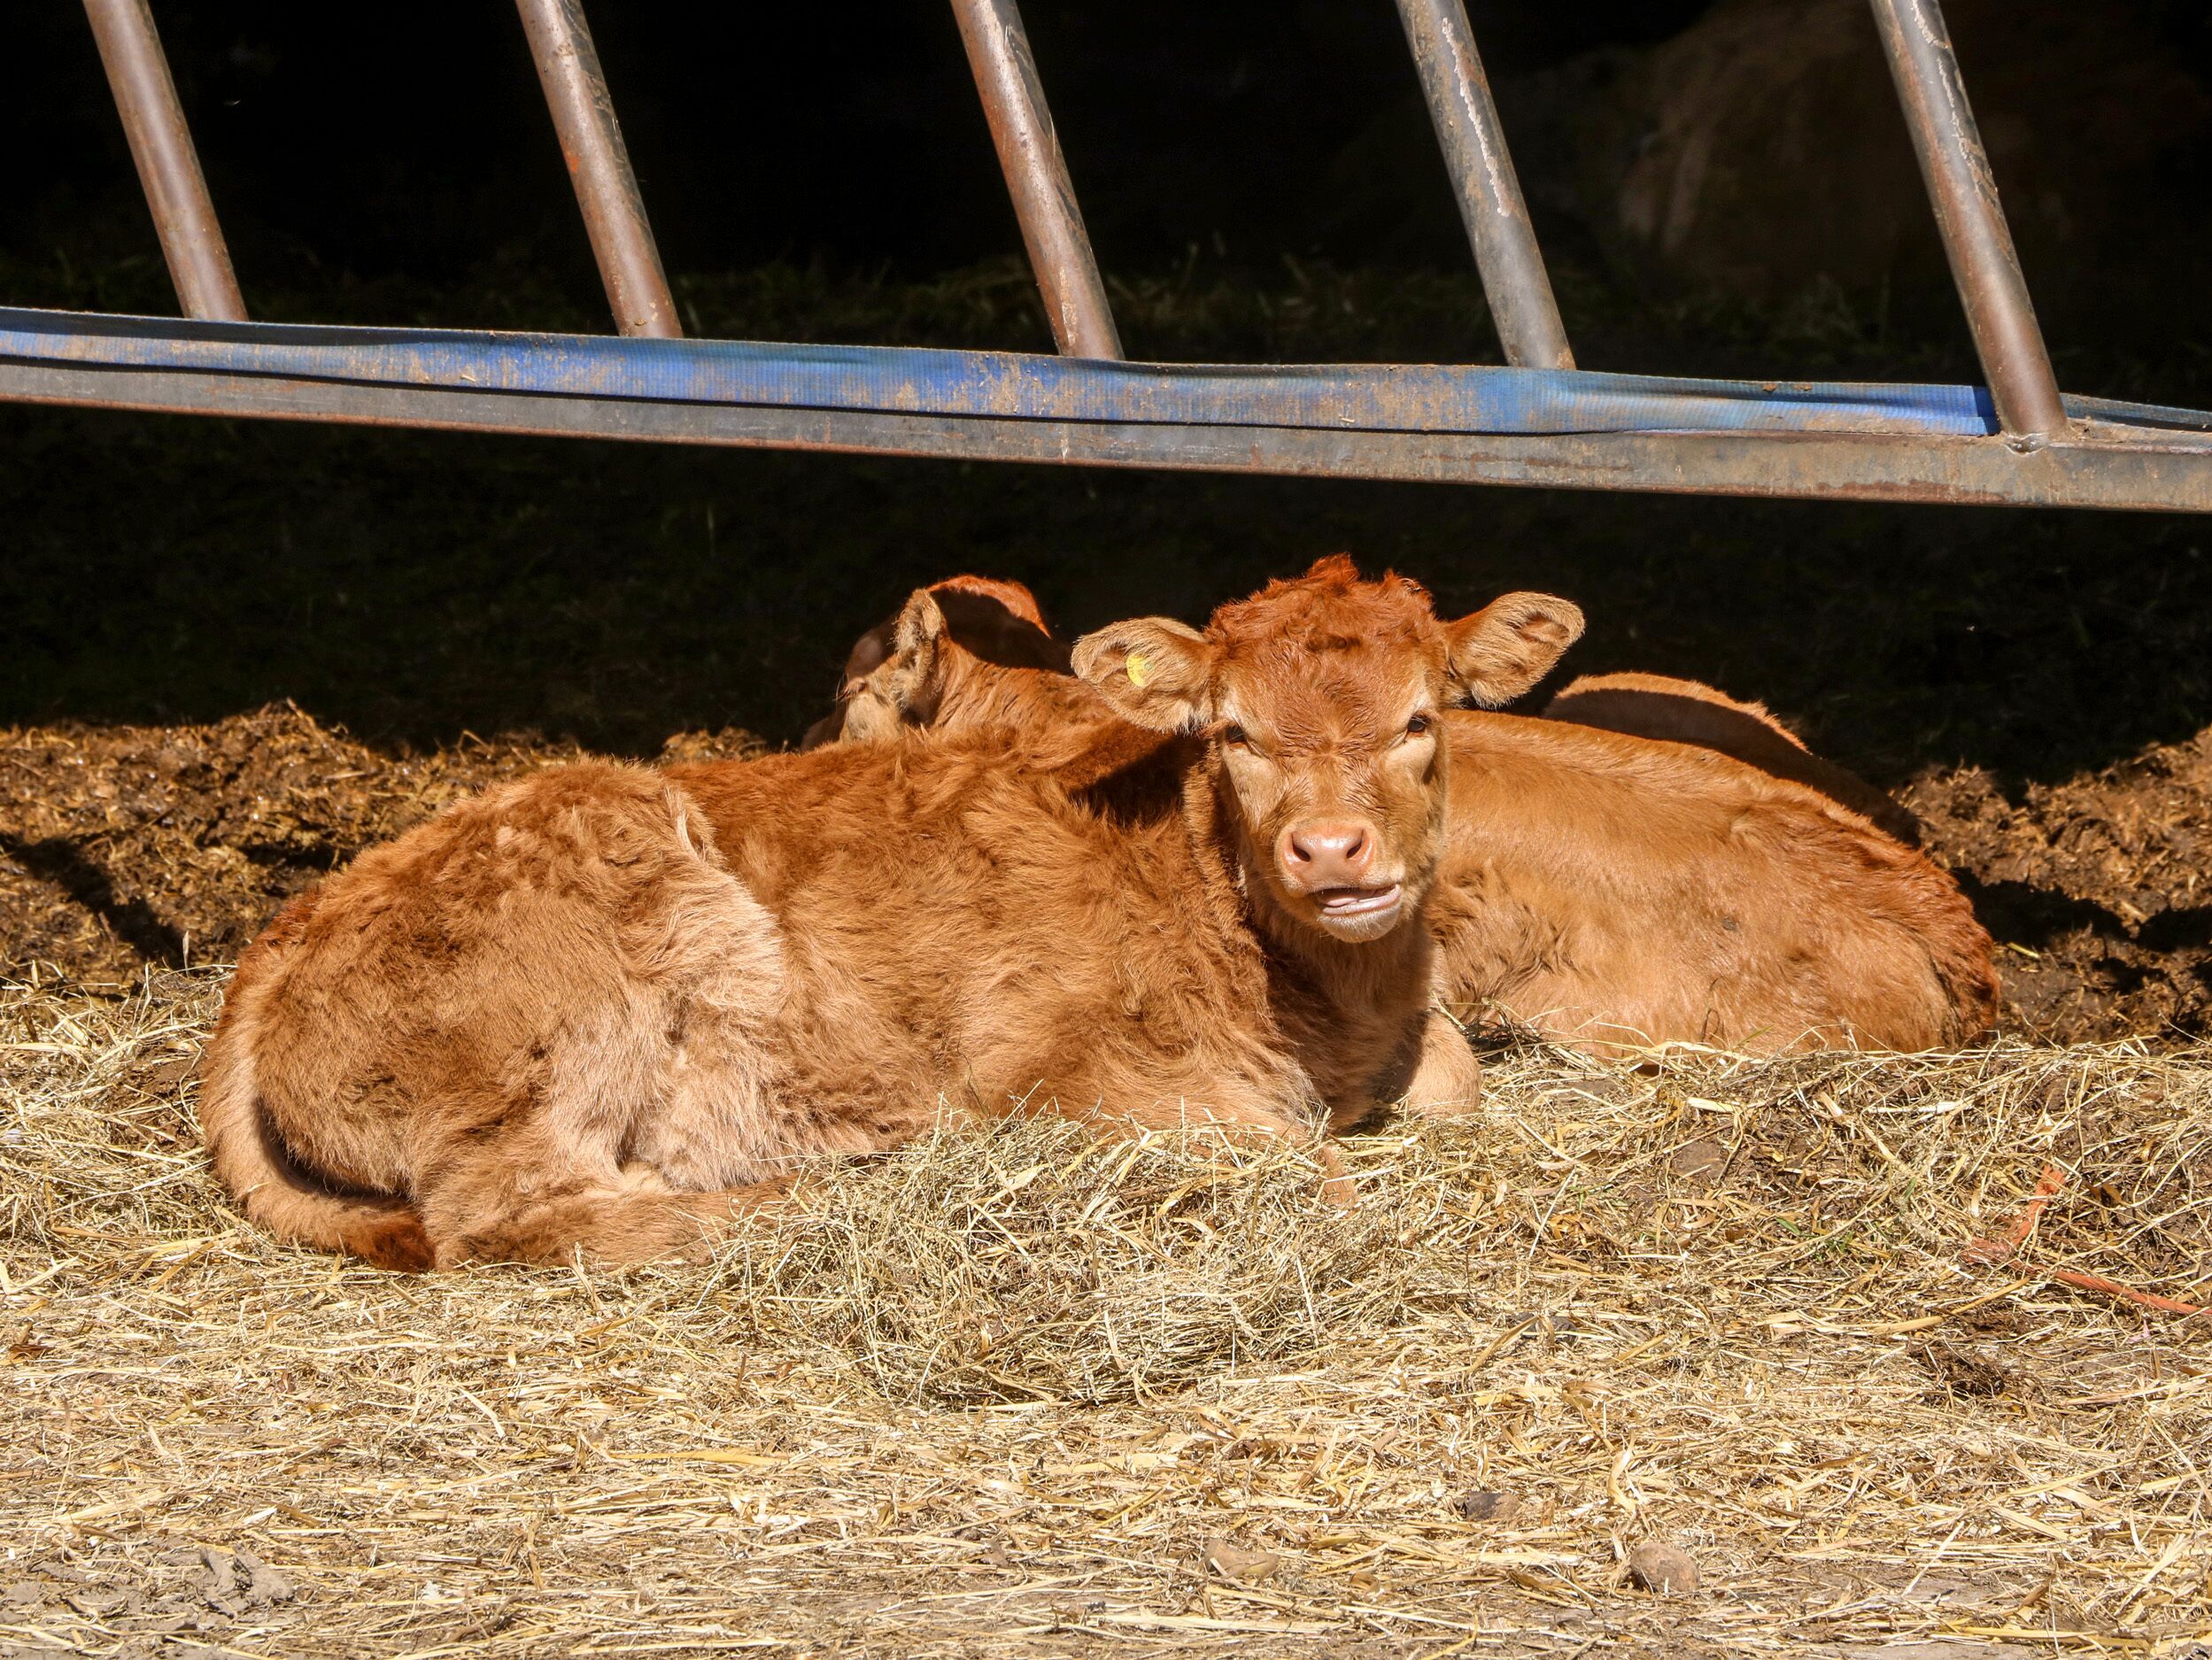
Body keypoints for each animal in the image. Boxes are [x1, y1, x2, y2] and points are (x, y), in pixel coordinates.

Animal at [199, 559, 1583, 1271]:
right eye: (1232, 730)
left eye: (1421, 717)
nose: (1330, 848)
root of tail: (293, 925)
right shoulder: (1054, 1070)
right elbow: (1308, 1168)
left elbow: (1455, 1077)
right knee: (516, 1215)